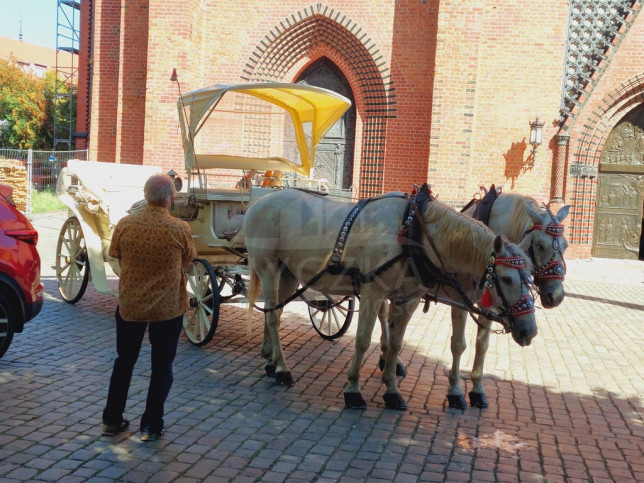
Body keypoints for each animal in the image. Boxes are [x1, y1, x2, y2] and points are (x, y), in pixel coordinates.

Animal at [244, 187, 536, 410]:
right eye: (506, 279)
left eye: (531, 277)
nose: (529, 331)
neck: (413, 232)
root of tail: (258, 202)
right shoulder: (372, 292)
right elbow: (362, 340)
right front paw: (353, 390)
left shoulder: (407, 299)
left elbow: (396, 344)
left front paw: (392, 391)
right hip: (267, 267)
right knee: (273, 316)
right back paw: (282, 370)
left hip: (289, 273)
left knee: (275, 311)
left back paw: (272, 361)